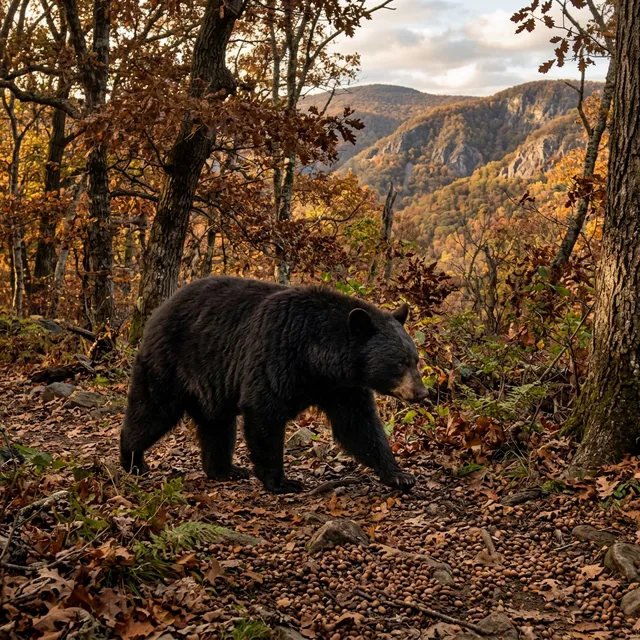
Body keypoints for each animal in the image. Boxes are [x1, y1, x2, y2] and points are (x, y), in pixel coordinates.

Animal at [120, 276, 429, 494]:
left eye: (415, 359)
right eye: (400, 363)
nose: (422, 392)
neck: (318, 358)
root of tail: (159, 310)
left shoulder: (342, 388)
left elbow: (359, 426)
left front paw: (400, 475)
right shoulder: (276, 354)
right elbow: (264, 412)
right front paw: (282, 482)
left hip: (211, 383)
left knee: (217, 425)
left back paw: (225, 470)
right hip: (172, 363)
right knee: (152, 410)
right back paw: (133, 461)